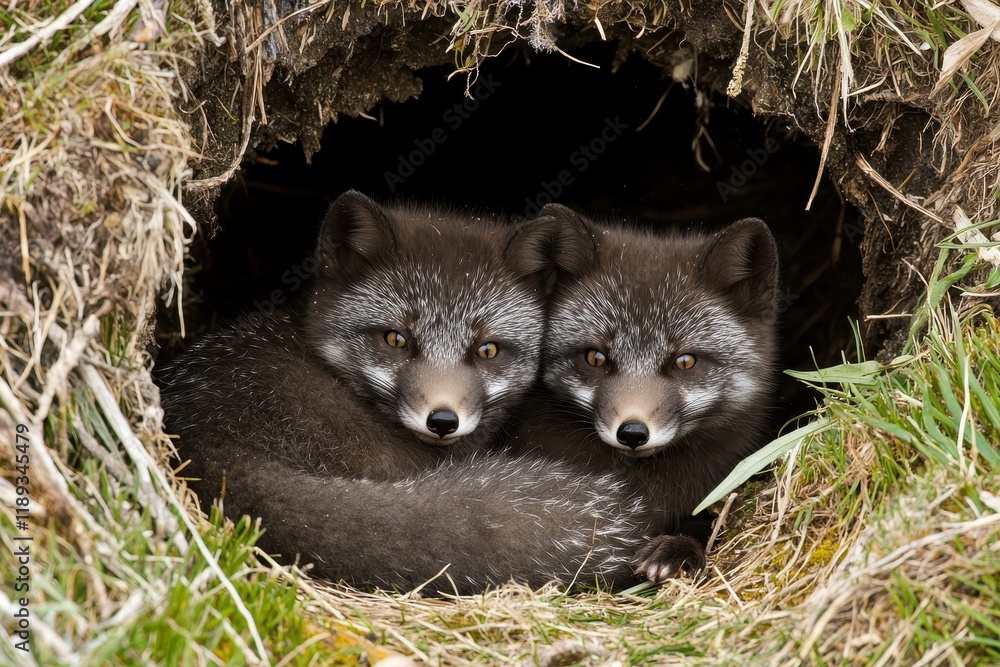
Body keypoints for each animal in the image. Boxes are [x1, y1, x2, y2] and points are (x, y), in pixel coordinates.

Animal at [510, 203, 780, 583]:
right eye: (595, 357)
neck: (644, 483)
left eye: (685, 361)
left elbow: (702, 525)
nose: (633, 433)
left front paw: (676, 549)